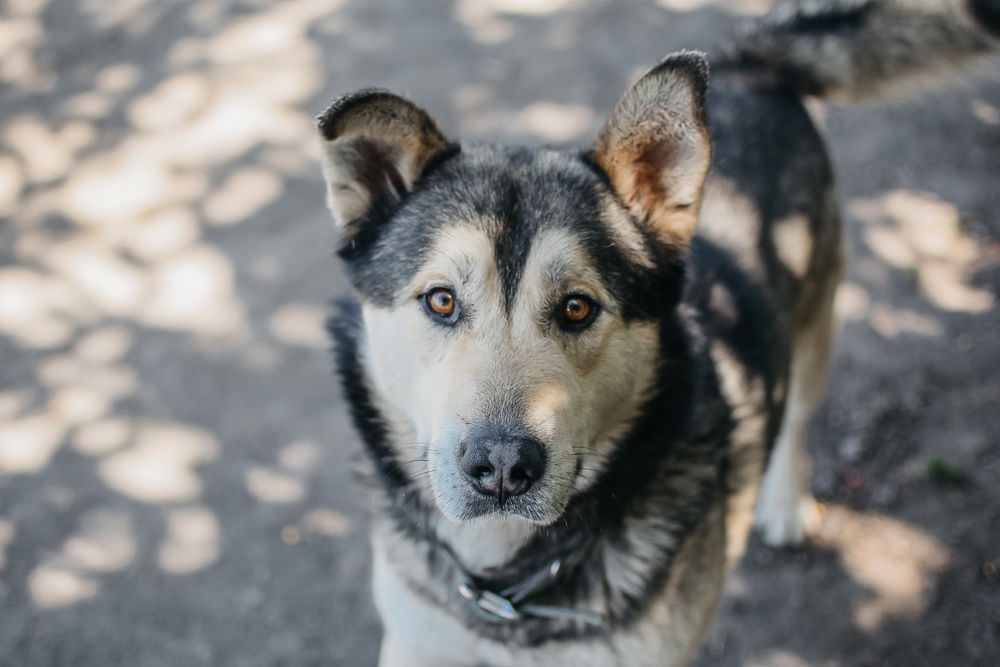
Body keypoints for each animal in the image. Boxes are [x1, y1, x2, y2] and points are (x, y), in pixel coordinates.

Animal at [316, 2, 996, 664]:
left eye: (577, 308)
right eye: (441, 300)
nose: (503, 466)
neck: (509, 591)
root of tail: (748, 66)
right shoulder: (412, 643)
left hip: (816, 322)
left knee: (797, 413)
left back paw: (785, 501)